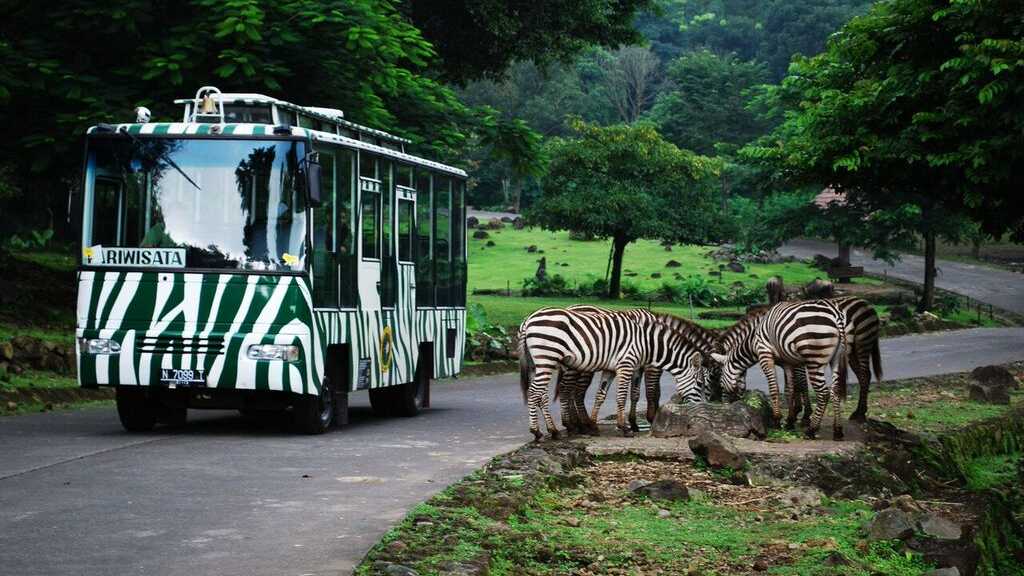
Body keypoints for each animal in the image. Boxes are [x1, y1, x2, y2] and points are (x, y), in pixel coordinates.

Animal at [516, 307, 708, 436]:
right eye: (700, 384)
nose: (701, 410)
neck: (649, 343)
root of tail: (528, 320)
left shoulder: (612, 369)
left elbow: (602, 395)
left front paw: (594, 425)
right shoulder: (628, 364)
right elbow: (627, 395)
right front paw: (626, 427)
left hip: (538, 363)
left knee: (542, 394)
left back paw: (554, 429)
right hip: (547, 359)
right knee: (536, 392)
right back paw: (537, 431)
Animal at [712, 297, 847, 436]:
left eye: (719, 378)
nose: (725, 405)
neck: (753, 339)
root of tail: (836, 316)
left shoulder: (765, 354)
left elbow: (776, 388)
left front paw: (778, 419)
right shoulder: (787, 362)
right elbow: (790, 389)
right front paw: (790, 421)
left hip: (814, 359)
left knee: (823, 393)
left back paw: (812, 430)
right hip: (836, 359)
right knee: (835, 390)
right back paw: (838, 430)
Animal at [786, 295, 884, 426]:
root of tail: (866, 303)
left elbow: (799, 382)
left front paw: (802, 414)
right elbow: (793, 382)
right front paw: (796, 411)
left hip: (863, 343)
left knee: (864, 375)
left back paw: (860, 414)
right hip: (851, 352)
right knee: (863, 375)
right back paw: (859, 411)